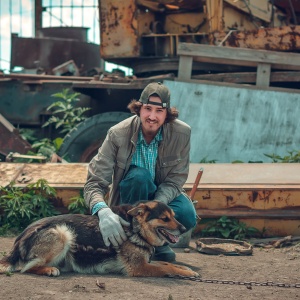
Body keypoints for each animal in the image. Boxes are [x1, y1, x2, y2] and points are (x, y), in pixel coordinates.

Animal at [0, 200, 199, 278]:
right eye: (165, 219)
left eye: (173, 216)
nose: (183, 228)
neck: (136, 228)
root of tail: (21, 237)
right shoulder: (139, 267)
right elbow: (166, 267)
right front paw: (187, 273)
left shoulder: (145, 263)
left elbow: (166, 264)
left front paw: (185, 269)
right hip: (63, 233)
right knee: (26, 267)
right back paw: (49, 270)